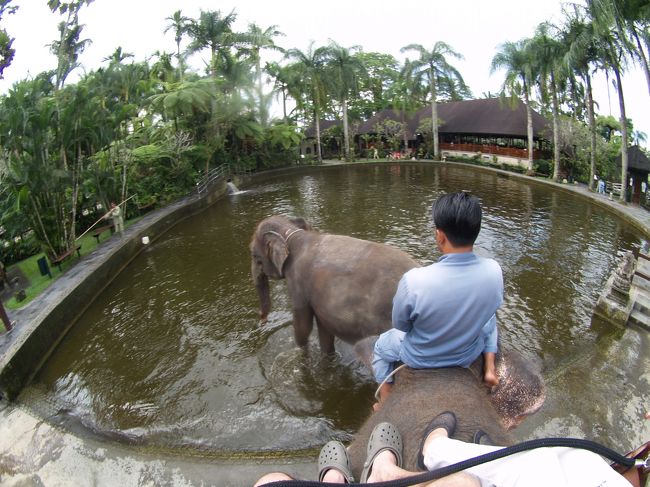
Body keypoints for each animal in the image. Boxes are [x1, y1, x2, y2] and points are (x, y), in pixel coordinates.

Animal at [251, 215, 418, 352]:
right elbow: (324, 331)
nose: (262, 321)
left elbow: (303, 326)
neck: (293, 234)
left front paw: (300, 350)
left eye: (254, 255)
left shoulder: (297, 281)